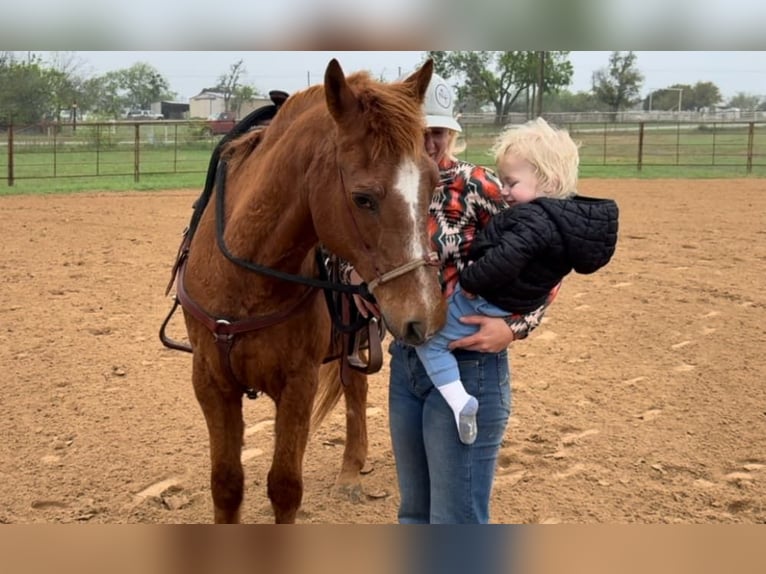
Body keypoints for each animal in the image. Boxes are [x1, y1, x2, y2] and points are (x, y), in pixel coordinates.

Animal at [167, 58, 446, 524]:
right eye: (363, 198)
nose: (423, 313)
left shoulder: (298, 382)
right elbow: (226, 484)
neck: (245, 281)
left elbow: (284, 487)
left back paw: (351, 471)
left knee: (356, 390)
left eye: (434, 183)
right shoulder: (209, 381)